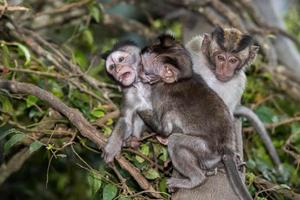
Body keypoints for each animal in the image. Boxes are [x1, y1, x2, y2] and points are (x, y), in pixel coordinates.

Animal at [139, 34, 252, 200]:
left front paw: (140, 111)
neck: (179, 79)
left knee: (176, 141)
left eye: (143, 65)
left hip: (205, 149)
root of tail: (227, 148)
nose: (138, 71)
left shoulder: (162, 99)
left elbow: (165, 129)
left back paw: (195, 179)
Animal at [186, 26, 282, 170]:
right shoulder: (194, 48)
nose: (224, 69)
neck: (213, 73)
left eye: (232, 61)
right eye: (220, 57)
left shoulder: (238, 84)